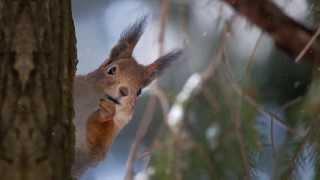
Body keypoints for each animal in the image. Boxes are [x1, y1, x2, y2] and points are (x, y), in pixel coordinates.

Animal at [72, 17, 182, 176]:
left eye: (139, 91)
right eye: (111, 70)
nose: (124, 91)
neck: (89, 103)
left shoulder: (101, 145)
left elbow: (95, 146)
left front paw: (105, 114)